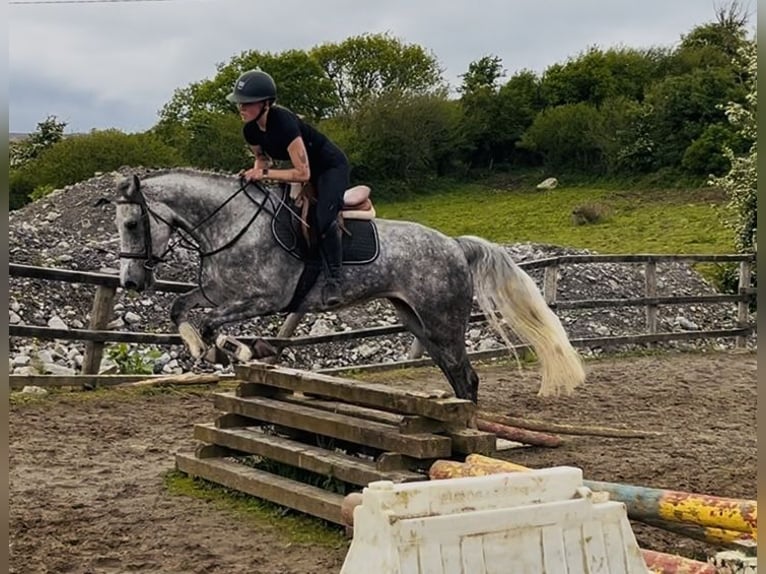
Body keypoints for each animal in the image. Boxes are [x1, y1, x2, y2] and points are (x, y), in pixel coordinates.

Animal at [113, 168, 585, 403]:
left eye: (133, 224)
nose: (132, 282)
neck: (230, 224)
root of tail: (454, 244)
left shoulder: (265, 298)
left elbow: (213, 323)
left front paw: (241, 350)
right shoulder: (220, 291)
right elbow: (182, 309)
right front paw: (202, 348)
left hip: (443, 321)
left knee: (466, 377)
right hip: (417, 321)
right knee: (455, 374)